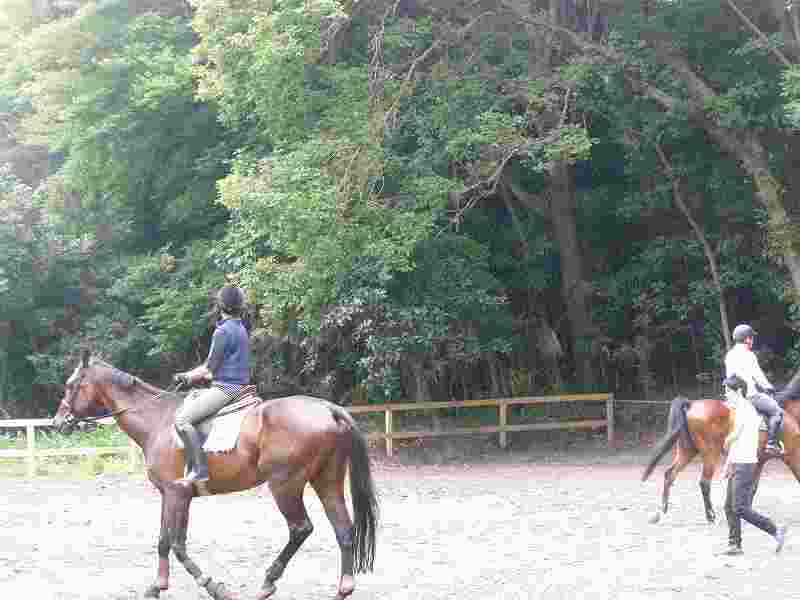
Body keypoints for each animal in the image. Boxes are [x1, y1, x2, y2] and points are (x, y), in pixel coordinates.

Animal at [52, 350, 379, 600]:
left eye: (70, 385)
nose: (58, 423)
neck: (157, 421)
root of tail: (328, 408)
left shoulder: (178, 493)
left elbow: (177, 545)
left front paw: (213, 587)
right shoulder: (169, 494)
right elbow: (163, 540)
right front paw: (157, 587)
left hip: (285, 484)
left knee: (301, 528)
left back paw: (267, 583)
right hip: (326, 480)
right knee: (343, 529)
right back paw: (342, 588)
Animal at [641, 373, 800, 524]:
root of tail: (691, 404)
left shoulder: (759, 460)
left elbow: (751, 488)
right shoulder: (791, 455)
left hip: (688, 450)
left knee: (670, 474)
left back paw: (662, 512)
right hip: (710, 453)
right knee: (704, 482)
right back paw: (710, 516)